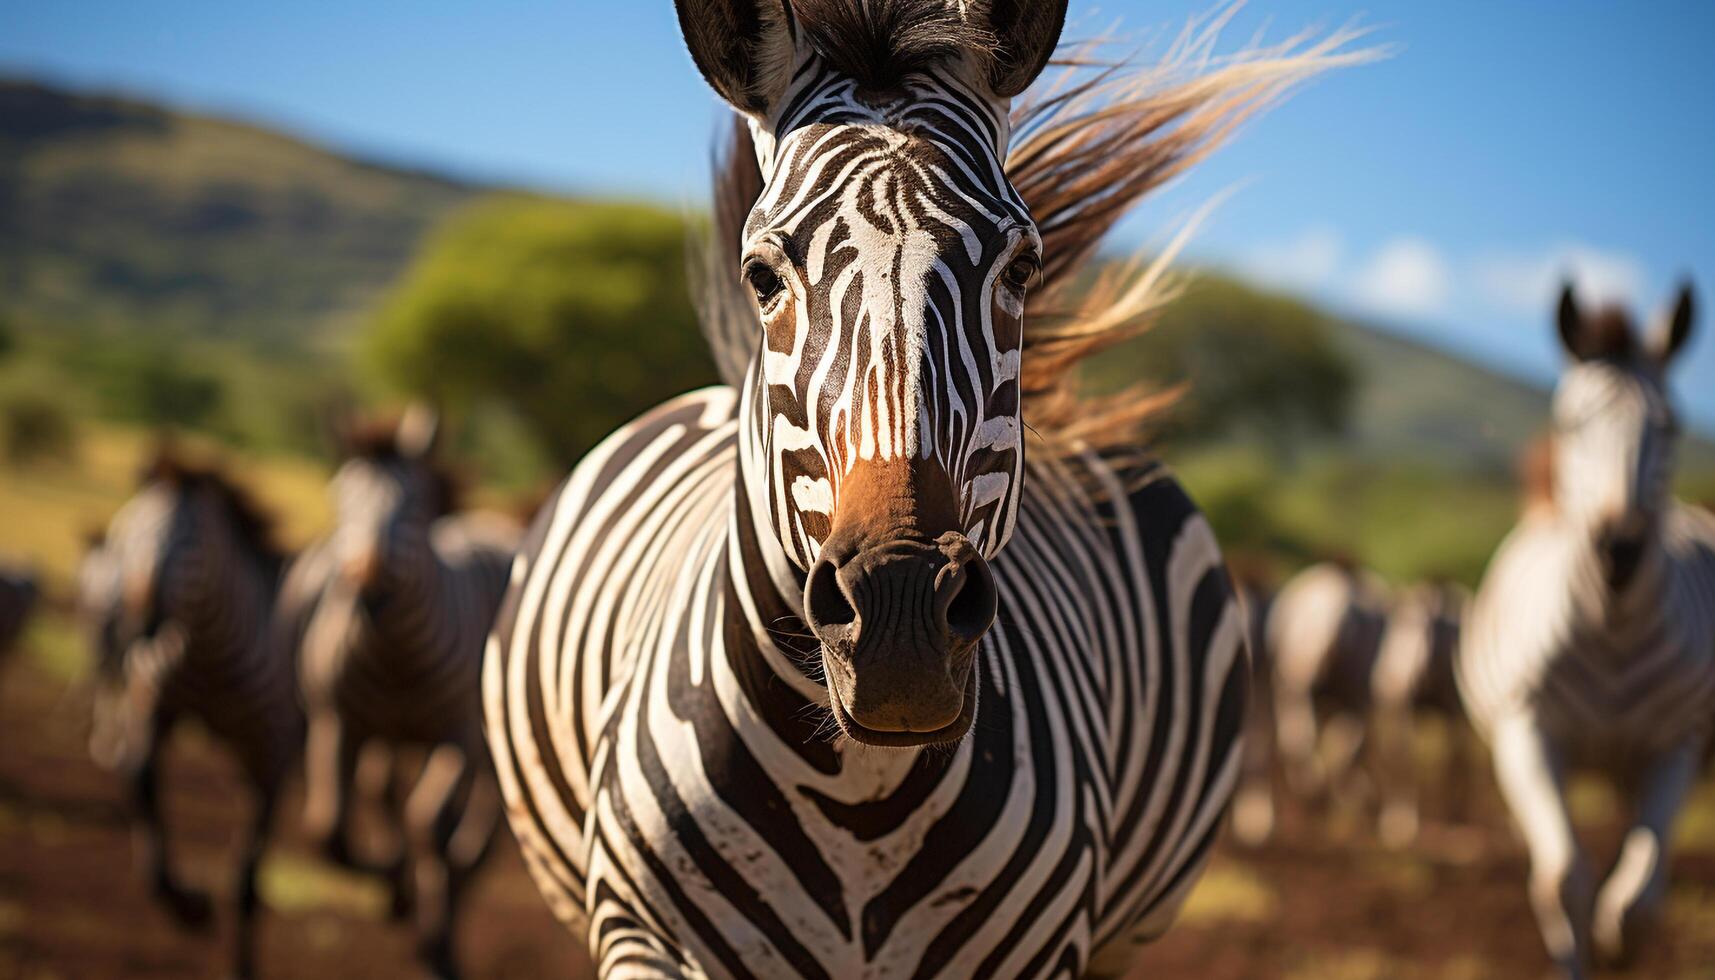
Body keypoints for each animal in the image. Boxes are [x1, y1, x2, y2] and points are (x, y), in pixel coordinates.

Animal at [284, 406, 514, 980]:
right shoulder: (335, 724)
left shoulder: (459, 739)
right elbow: (328, 832)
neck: (395, 659)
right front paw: (394, 888)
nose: (367, 589)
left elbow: (427, 825)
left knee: (477, 838)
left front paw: (432, 935)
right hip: (388, 735)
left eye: (412, 507)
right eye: (339, 499)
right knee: (381, 790)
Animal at [1365, 580, 1474, 847]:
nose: (1390, 683)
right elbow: (1403, 758)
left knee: (1463, 759)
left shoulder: (1453, 711)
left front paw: (1451, 824)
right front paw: (1399, 821)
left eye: (1424, 631)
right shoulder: (1403, 709)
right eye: (1388, 633)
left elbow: (1452, 761)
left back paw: (1461, 818)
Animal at [1461, 279, 1715, 974]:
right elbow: (1564, 876)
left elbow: (1637, 900)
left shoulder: (1676, 744)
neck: (1614, 630)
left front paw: (1618, 947)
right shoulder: (1529, 731)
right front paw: (1579, 955)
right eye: (1572, 423)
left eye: (1671, 425)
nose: (1620, 550)